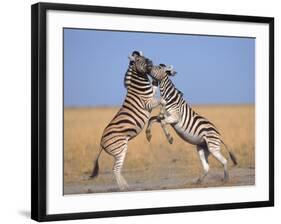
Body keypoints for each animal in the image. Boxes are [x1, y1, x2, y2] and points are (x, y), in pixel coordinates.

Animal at [88, 51, 162, 191]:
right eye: (138, 60)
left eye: (146, 57)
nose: (150, 62)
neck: (139, 87)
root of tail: (101, 143)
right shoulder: (147, 103)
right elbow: (160, 100)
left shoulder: (151, 95)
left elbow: (155, 87)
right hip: (120, 149)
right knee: (115, 169)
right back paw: (123, 188)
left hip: (119, 151)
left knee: (117, 169)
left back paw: (126, 186)